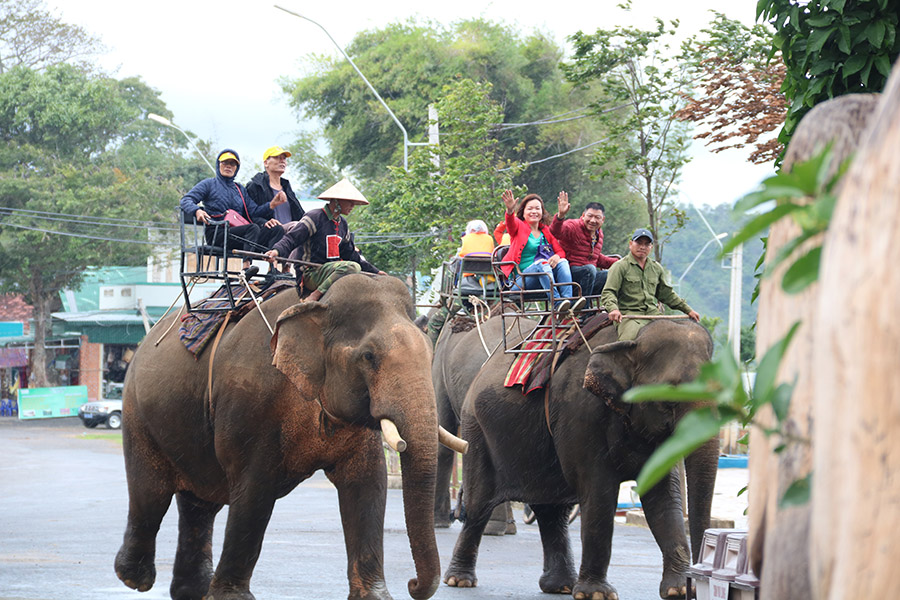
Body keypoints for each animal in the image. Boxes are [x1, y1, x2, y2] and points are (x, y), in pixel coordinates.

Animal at [114, 276, 450, 600]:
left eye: (431, 353)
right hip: (137, 413)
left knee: (200, 503)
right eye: (369, 356)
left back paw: (191, 591)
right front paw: (231, 598)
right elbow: (254, 489)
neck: (319, 302)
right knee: (152, 492)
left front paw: (375, 597)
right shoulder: (252, 403)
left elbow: (368, 485)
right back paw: (134, 578)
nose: (412, 584)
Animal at [442, 316, 716, 596]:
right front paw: (596, 594)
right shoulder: (579, 412)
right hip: (476, 430)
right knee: (479, 505)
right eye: (669, 400)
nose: (698, 579)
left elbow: (663, 495)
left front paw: (680, 591)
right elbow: (599, 492)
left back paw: (559, 586)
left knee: (552, 511)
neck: (632, 339)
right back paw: (459, 581)